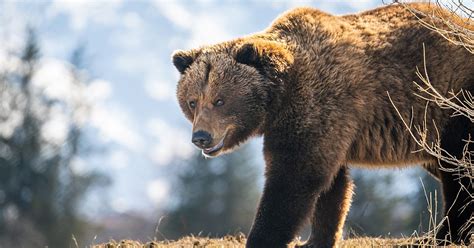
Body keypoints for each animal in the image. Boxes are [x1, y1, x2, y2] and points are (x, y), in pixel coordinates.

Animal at [172, 2, 472, 248]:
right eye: (192, 101)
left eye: (220, 100)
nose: (200, 136)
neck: (279, 97)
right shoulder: (325, 125)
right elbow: (332, 187)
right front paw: (316, 240)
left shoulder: (317, 105)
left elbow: (294, 177)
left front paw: (262, 238)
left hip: (449, 102)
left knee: (458, 166)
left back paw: (441, 235)